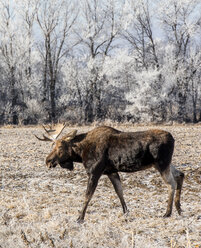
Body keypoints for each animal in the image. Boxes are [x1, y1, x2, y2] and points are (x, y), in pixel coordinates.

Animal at [35, 123, 185, 222]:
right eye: (52, 145)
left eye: (60, 146)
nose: (48, 161)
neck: (80, 152)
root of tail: (173, 139)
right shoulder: (111, 172)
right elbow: (119, 191)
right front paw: (126, 212)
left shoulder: (94, 172)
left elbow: (87, 195)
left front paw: (80, 217)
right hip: (164, 164)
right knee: (180, 175)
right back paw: (178, 209)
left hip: (161, 163)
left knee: (171, 183)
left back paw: (167, 212)